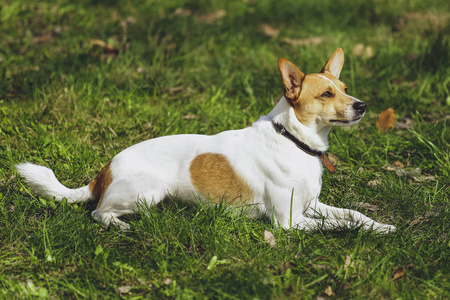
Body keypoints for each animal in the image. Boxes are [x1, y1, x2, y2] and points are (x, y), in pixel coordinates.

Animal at [16, 48, 398, 233]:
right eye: (326, 93)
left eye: (345, 89)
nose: (362, 106)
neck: (293, 140)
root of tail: (102, 173)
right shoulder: (289, 221)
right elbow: (339, 225)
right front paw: (366, 232)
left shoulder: (311, 205)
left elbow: (353, 215)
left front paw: (381, 226)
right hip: (148, 190)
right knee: (98, 212)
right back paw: (120, 224)